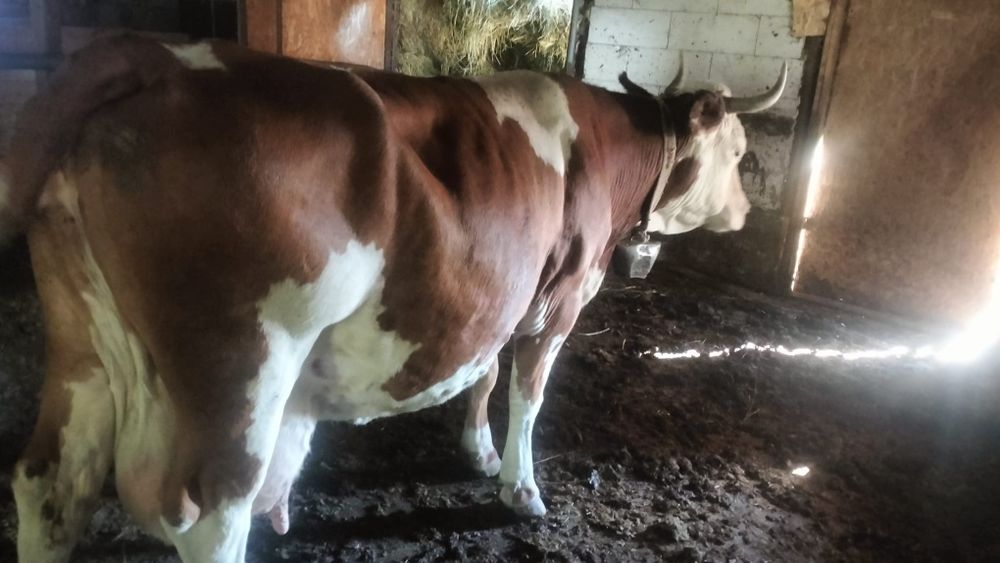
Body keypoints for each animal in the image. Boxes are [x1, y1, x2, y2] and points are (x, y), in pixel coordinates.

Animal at [0, 35, 785, 562]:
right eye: (739, 150)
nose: (746, 213)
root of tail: (159, 55)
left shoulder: (498, 291)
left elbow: (486, 370)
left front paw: (475, 450)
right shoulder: (560, 300)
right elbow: (527, 393)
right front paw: (521, 489)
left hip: (80, 343)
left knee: (49, 485)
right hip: (241, 367)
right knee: (211, 514)